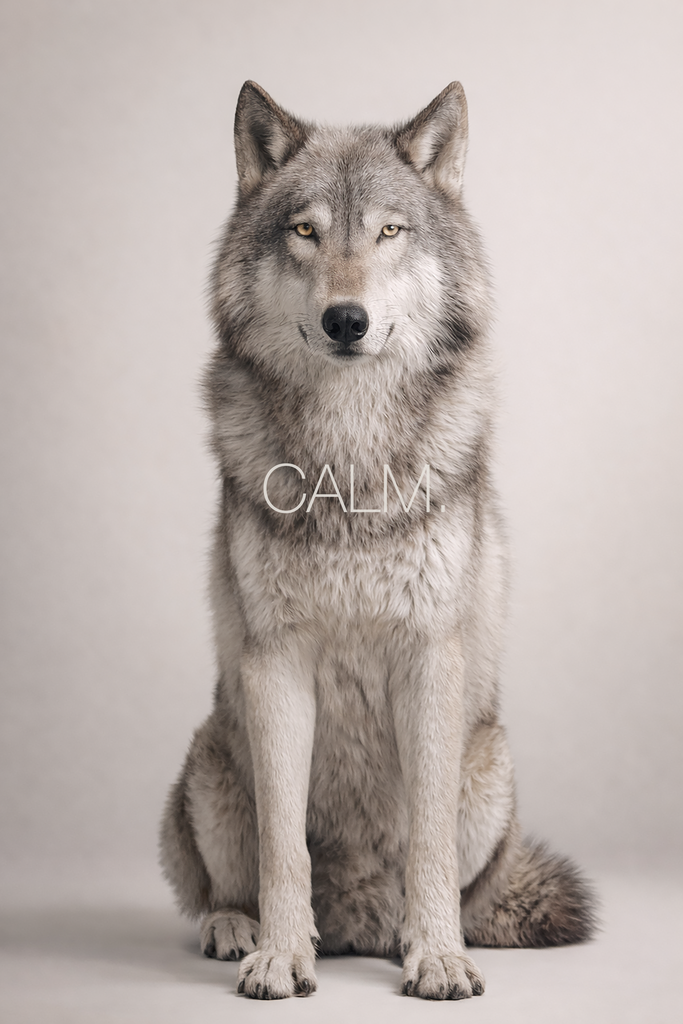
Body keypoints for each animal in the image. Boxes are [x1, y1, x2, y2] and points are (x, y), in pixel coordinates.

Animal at [159, 80, 596, 1001]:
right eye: (305, 231)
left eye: (389, 232)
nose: (345, 319)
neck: (351, 461)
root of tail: (354, 921)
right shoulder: (276, 664)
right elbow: (282, 844)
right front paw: (280, 955)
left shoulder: (428, 656)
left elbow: (425, 837)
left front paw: (436, 957)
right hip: (211, 760)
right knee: (221, 882)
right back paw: (236, 927)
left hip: (489, 766)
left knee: (459, 885)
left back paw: (408, 935)